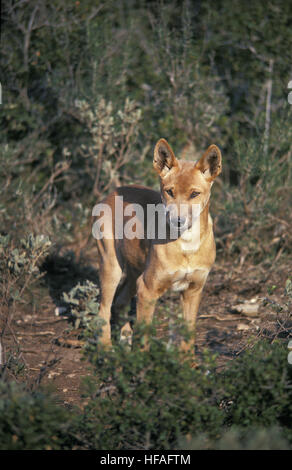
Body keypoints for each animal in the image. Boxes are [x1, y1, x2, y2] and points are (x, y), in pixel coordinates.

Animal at [95, 140, 221, 352]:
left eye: (195, 194)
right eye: (169, 191)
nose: (177, 221)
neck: (186, 245)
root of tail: (110, 194)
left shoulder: (193, 291)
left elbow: (188, 336)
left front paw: (187, 360)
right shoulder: (148, 289)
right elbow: (143, 339)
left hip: (135, 272)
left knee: (120, 303)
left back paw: (124, 340)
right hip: (112, 268)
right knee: (103, 310)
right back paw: (105, 348)